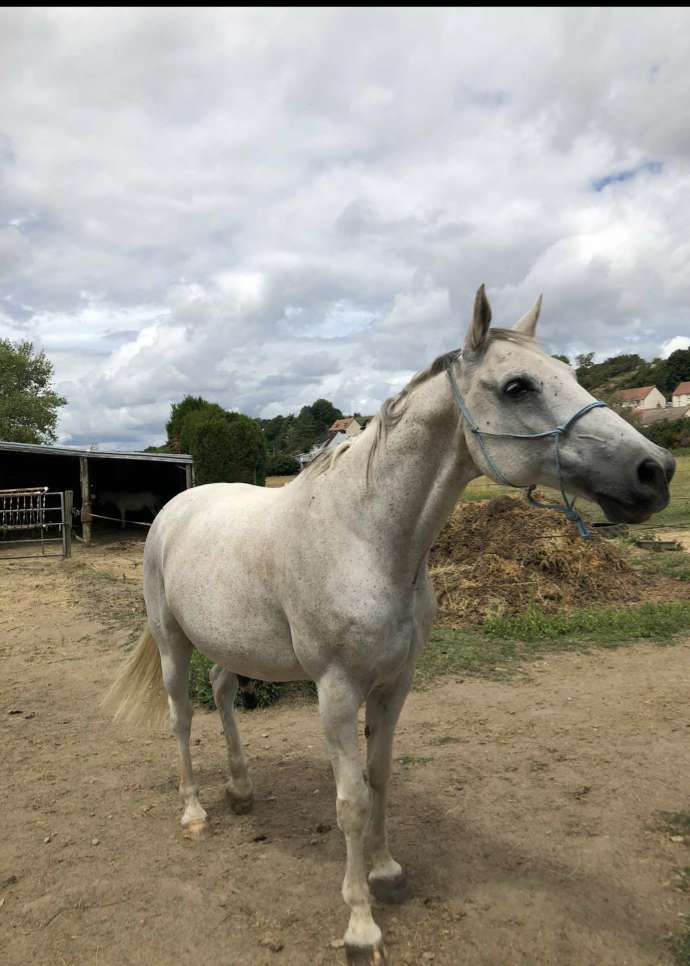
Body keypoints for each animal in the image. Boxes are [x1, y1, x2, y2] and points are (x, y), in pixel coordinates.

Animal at [103, 290, 672, 966]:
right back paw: (194, 812)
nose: (655, 470)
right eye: (518, 386)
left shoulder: (395, 683)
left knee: (221, 693)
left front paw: (386, 872)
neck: (365, 537)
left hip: (230, 644)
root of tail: (175, 509)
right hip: (172, 642)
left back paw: (241, 791)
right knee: (182, 718)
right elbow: (349, 800)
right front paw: (360, 925)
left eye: (570, 372)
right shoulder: (336, 689)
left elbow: (379, 779)